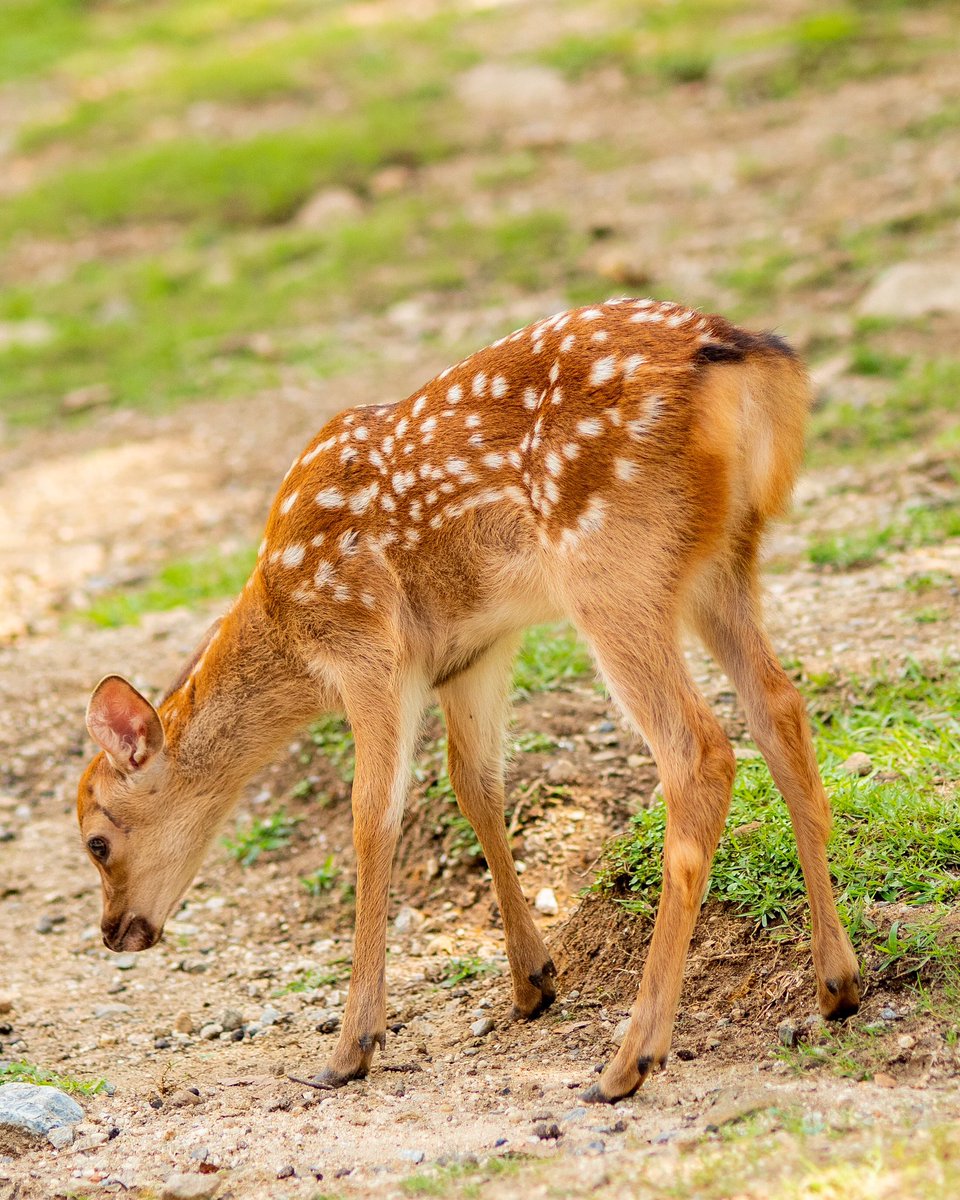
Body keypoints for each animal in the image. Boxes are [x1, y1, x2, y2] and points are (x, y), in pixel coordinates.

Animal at [77, 297, 861, 1103]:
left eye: (96, 841)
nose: (114, 932)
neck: (285, 621)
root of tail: (740, 353)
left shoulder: (368, 649)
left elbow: (372, 815)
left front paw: (351, 1047)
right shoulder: (474, 651)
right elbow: (477, 785)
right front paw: (533, 981)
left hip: (613, 565)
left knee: (698, 751)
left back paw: (628, 1060)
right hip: (723, 562)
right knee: (780, 707)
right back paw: (837, 983)